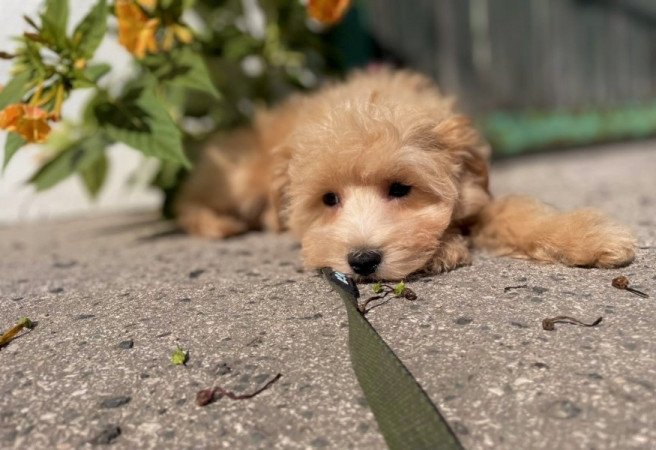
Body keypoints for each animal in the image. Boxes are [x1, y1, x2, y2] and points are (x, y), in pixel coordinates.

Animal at [174, 68, 636, 280]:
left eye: (400, 188)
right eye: (328, 199)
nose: (362, 261)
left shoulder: (474, 196)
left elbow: (516, 211)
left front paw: (587, 238)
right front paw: (446, 249)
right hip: (238, 176)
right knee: (186, 200)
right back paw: (218, 224)